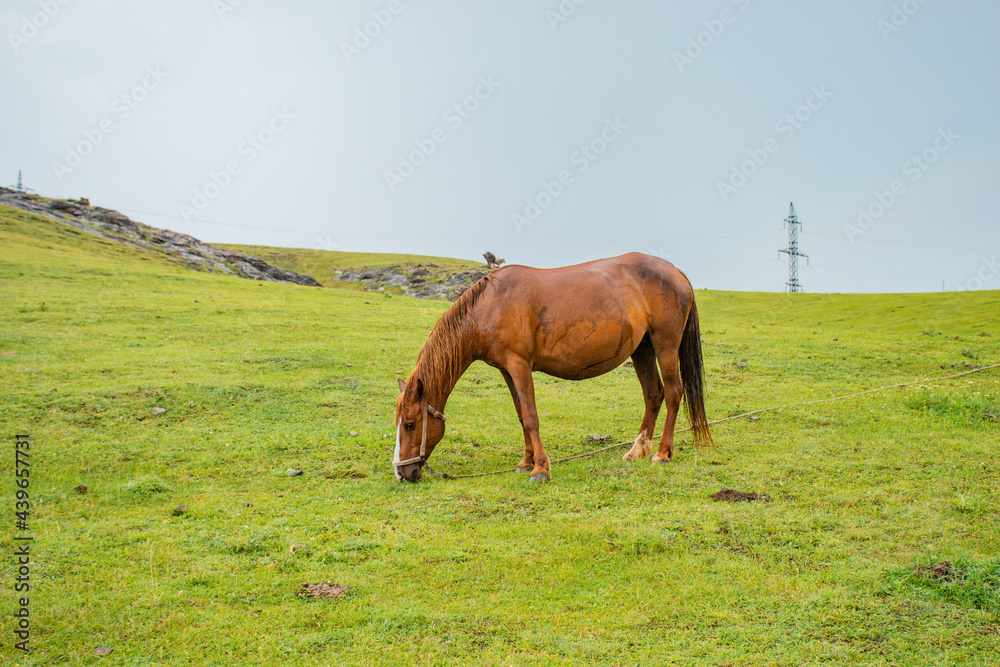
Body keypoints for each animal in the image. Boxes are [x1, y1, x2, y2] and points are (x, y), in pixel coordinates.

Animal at [392, 253, 712, 482]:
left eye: (410, 424)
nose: (402, 473)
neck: (491, 305)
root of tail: (675, 271)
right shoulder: (507, 370)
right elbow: (521, 414)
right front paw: (526, 462)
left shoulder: (519, 365)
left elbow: (531, 416)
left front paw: (540, 469)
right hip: (642, 350)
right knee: (653, 395)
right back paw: (637, 450)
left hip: (665, 347)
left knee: (673, 393)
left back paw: (662, 453)